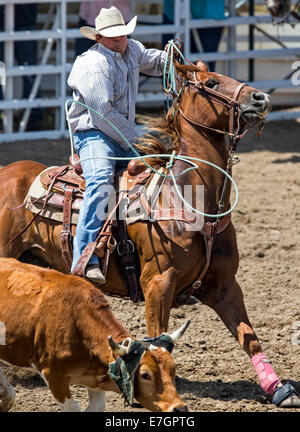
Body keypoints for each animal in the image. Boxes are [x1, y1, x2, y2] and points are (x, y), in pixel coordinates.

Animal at [0, 260, 188, 412]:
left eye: (173, 370)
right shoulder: (52, 374)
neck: (77, 322)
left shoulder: (96, 380)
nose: (179, 408)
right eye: (145, 375)